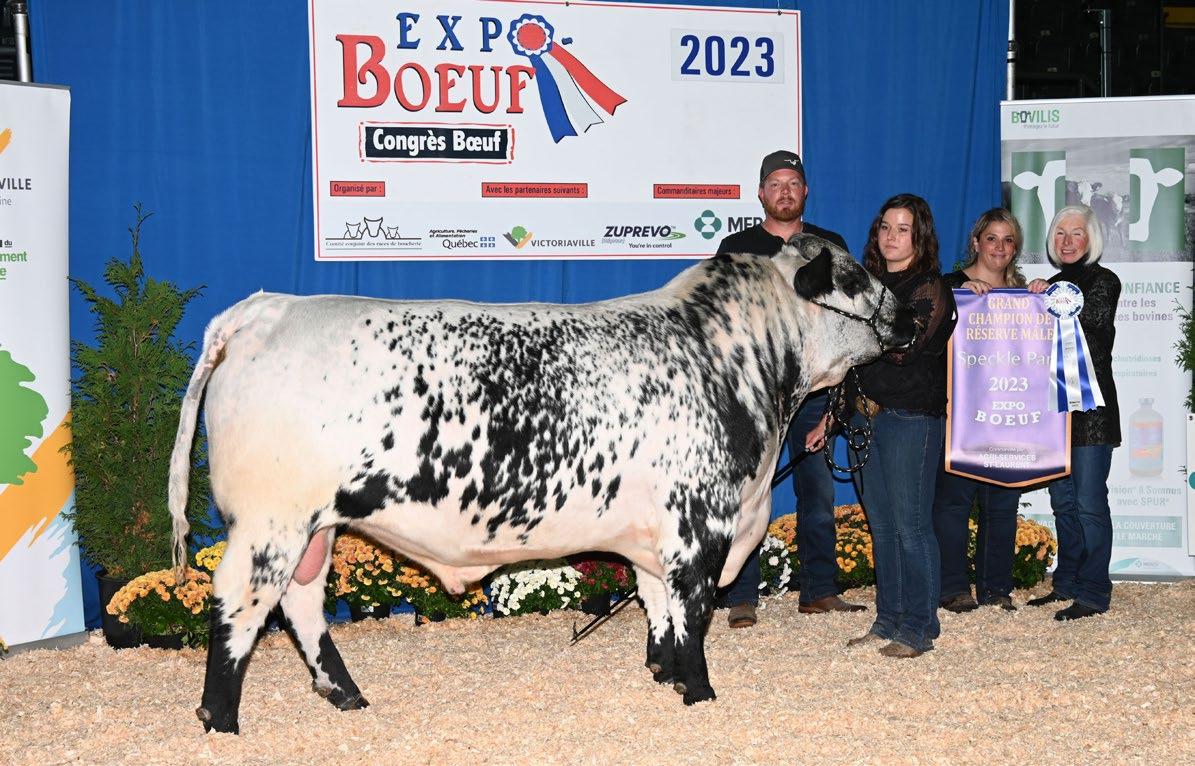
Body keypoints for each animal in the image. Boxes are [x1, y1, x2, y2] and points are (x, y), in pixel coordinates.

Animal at [168, 234, 916, 733]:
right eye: (854, 274)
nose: (911, 313)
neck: (735, 359)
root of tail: (261, 311)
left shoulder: (655, 533)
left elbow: (660, 609)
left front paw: (664, 674)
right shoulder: (699, 525)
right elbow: (693, 611)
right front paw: (699, 693)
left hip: (315, 526)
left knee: (301, 605)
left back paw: (344, 693)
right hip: (271, 521)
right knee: (240, 604)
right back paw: (220, 718)